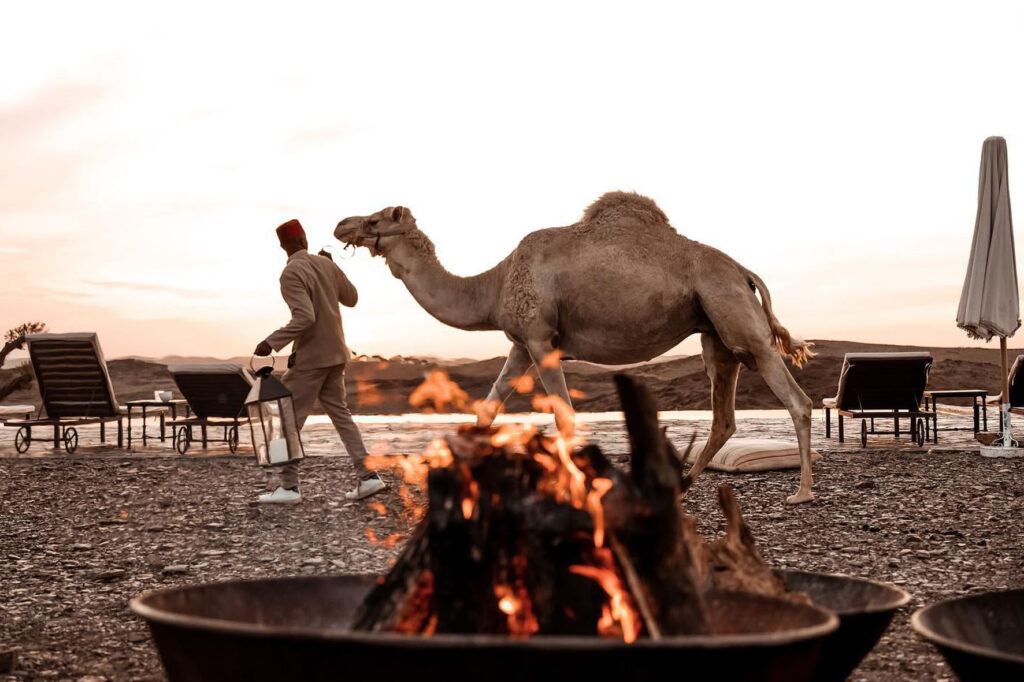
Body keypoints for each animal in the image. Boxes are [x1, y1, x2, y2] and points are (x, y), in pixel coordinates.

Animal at [335, 192, 816, 504]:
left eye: (376, 220)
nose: (341, 224)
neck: (493, 286)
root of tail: (743, 270)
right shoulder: (520, 345)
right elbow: (486, 411)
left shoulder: (541, 340)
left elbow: (565, 419)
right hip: (715, 331)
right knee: (724, 415)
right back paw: (681, 486)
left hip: (735, 316)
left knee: (796, 399)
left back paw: (802, 492)